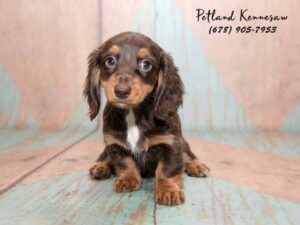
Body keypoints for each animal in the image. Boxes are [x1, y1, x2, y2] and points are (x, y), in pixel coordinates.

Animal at [82, 31, 209, 206]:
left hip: (183, 143)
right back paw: (100, 166)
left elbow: (167, 169)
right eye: (110, 60)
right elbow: (125, 162)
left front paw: (168, 190)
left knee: (188, 155)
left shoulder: (171, 143)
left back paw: (197, 166)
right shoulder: (114, 144)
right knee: (104, 156)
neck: (133, 114)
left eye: (146, 64)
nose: (121, 91)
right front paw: (127, 179)